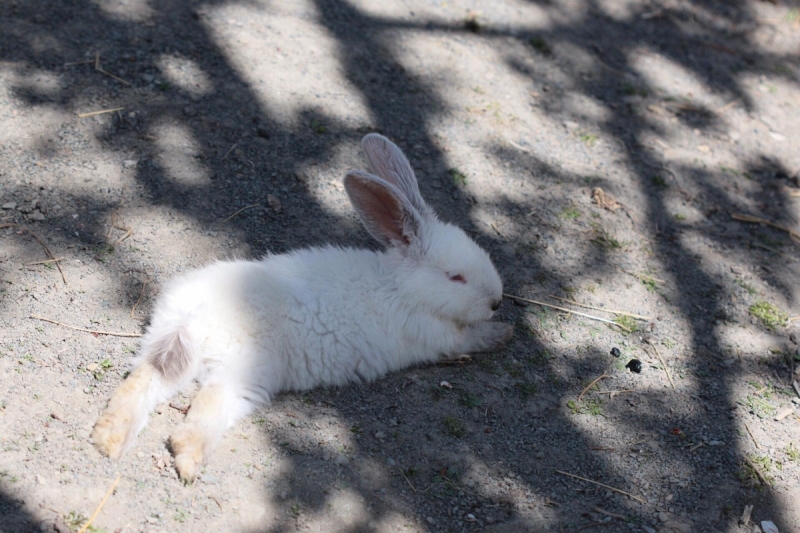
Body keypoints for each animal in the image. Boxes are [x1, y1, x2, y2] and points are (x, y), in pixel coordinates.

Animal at [90, 134, 510, 482]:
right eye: (456, 277)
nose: (496, 301)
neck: (401, 287)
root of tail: (196, 321)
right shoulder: (442, 338)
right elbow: (474, 337)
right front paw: (504, 331)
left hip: (169, 349)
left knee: (142, 382)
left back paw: (107, 440)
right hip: (243, 373)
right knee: (201, 412)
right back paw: (187, 462)